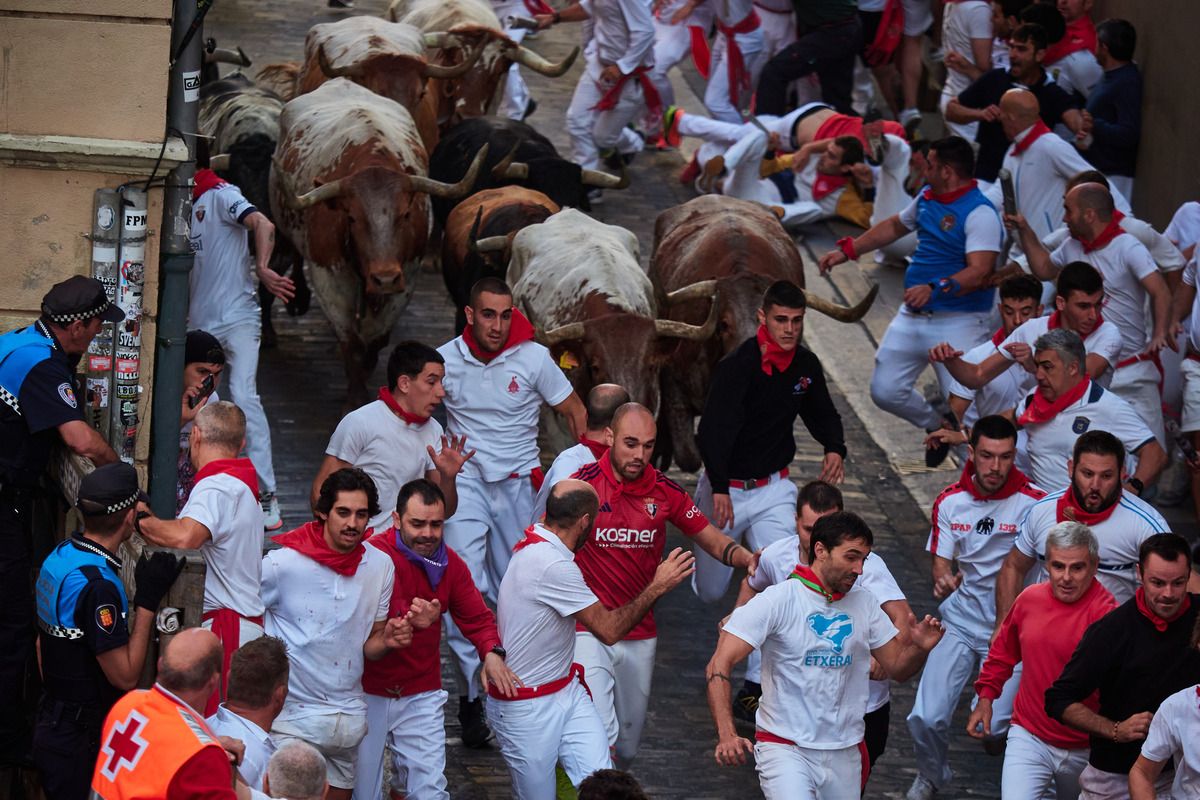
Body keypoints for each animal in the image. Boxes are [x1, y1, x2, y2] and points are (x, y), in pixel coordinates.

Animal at [270, 77, 484, 407]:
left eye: (406, 214)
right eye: (351, 218)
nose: (384, 278)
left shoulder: (405, 277)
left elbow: (376, 339)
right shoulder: (329, 278)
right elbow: (351, 342)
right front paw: (356, 396)